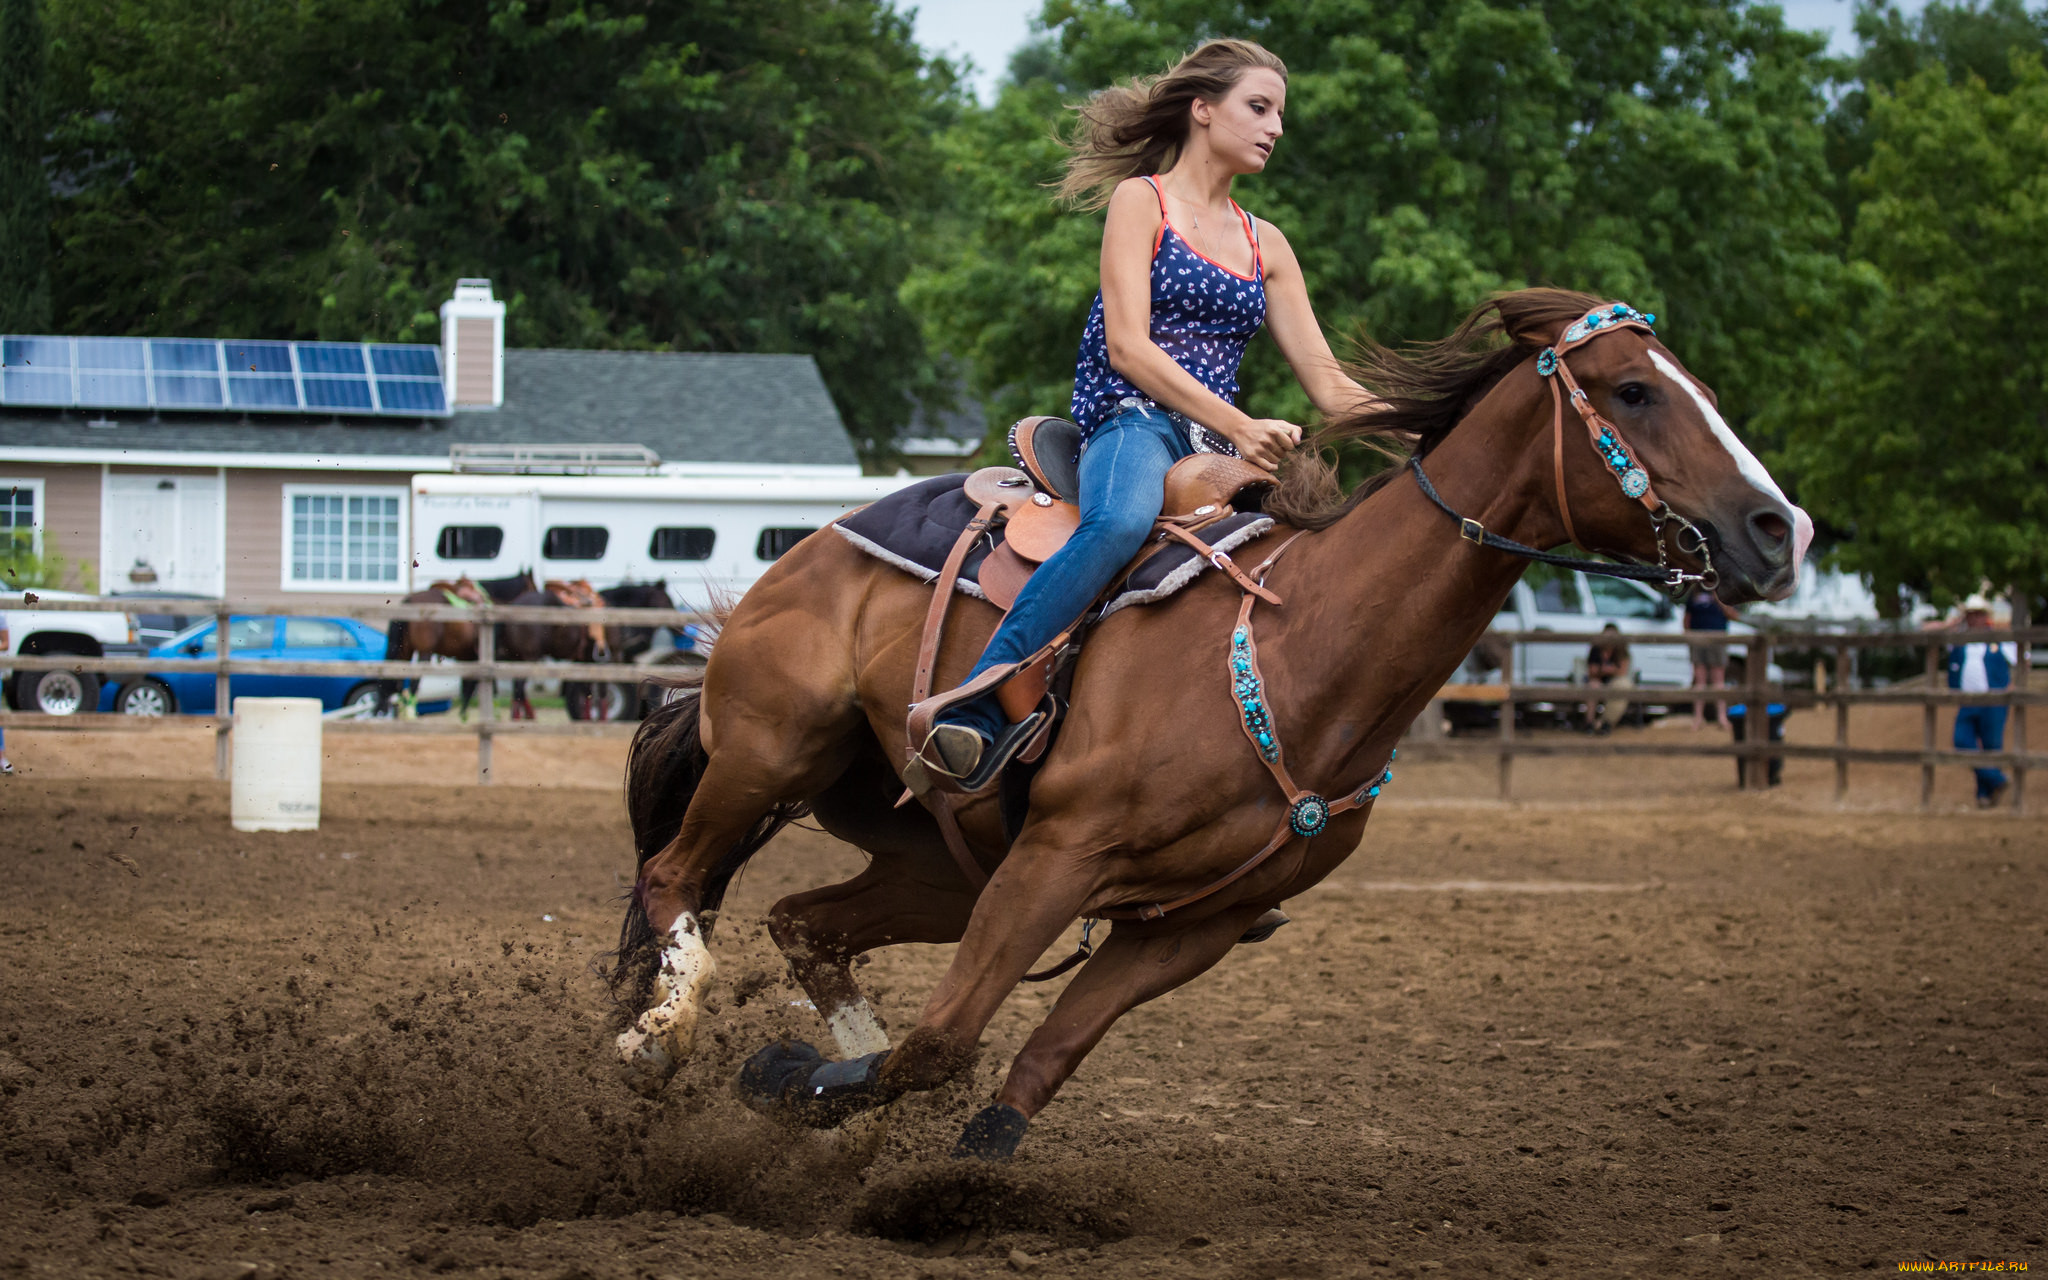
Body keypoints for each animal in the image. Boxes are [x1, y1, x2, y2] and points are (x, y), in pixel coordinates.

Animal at [602, 288, 1810, 1155]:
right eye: (1634, 391)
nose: (1779, 529)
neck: (1304, 648)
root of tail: (803, 556)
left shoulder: (1195, 924)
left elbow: (1022, 1074)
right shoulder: (1056, 860)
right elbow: (941, 1046)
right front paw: (780, 1076)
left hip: (935, 862)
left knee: (804, 923)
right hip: (772, 754)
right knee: (674, 874)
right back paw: (657, 1038)